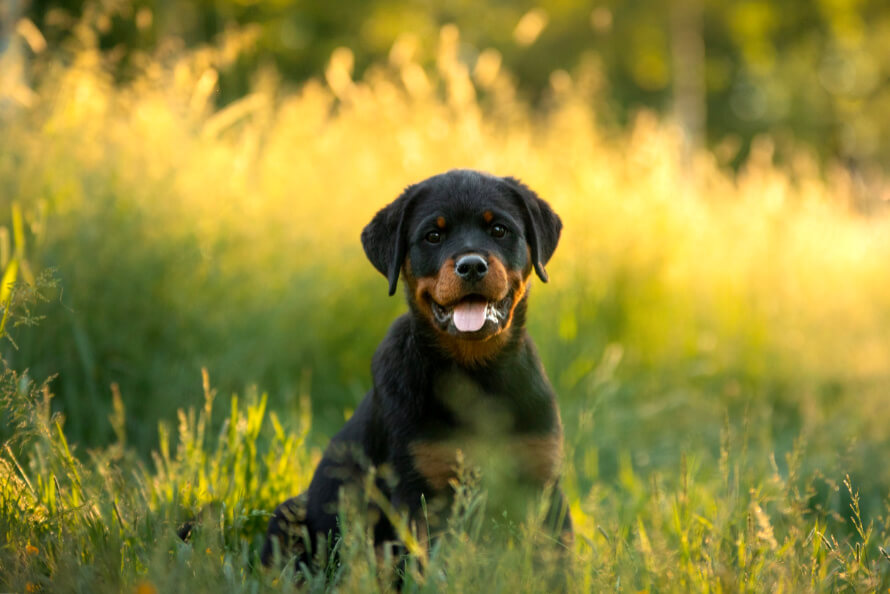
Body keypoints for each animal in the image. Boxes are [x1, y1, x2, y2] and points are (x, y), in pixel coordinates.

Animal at [260, 168, 572, 568]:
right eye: (433, 236)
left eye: (499, 230)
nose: (472, 265)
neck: (476, 375)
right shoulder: (419, 491)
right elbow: (429, 565)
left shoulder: (544, 483)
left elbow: (556, 562)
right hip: (289, 515)